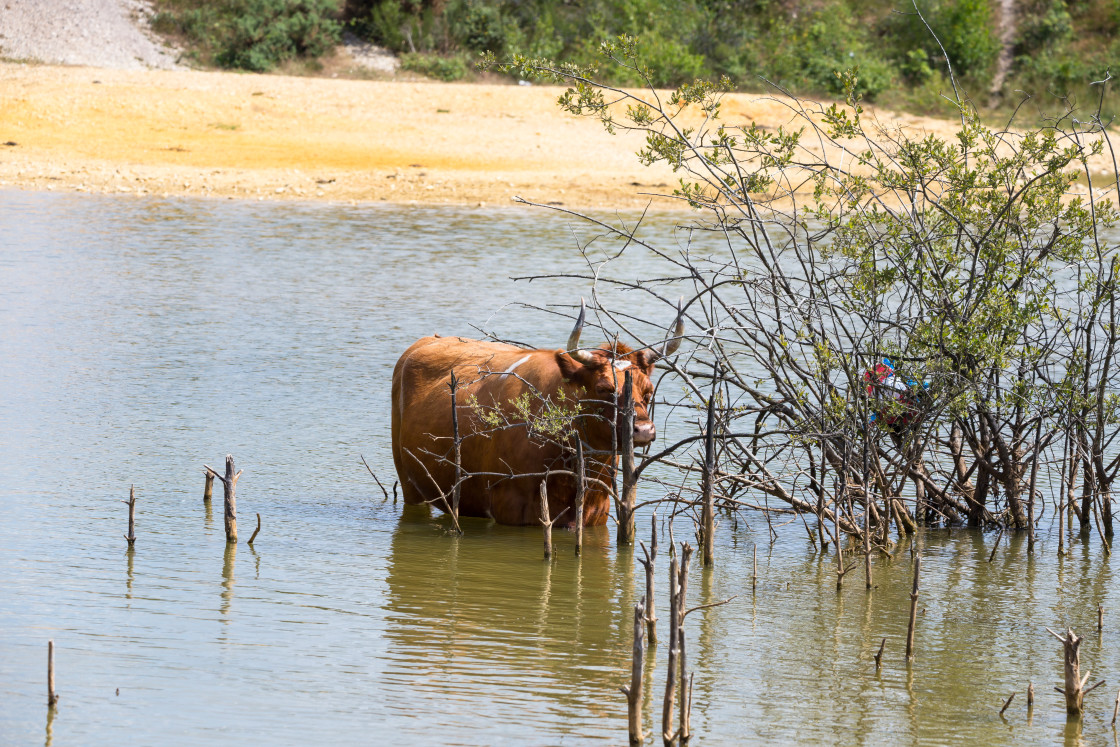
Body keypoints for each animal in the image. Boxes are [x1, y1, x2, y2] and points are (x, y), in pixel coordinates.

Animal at [394, 300, 680, 528]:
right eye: (604, 388)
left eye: (649, 390)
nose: (643, 430)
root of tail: (429, 340)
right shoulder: (511, 512)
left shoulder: (596, 515)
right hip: (409, 485)